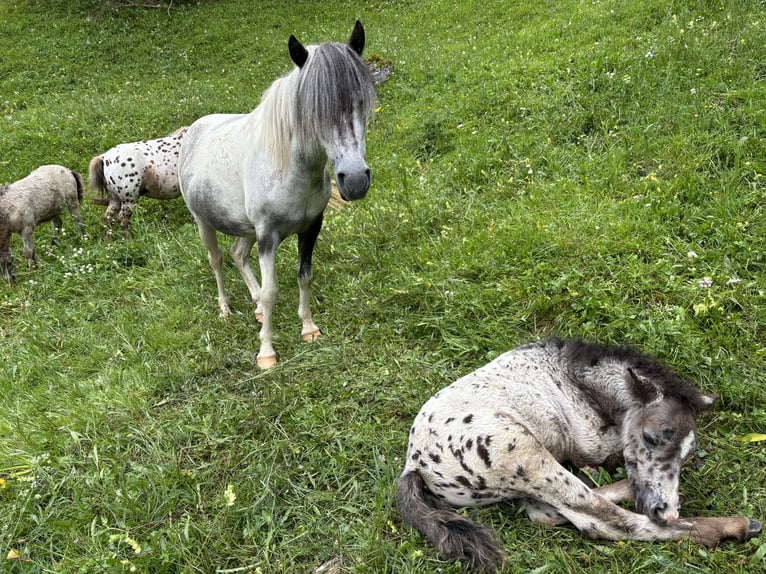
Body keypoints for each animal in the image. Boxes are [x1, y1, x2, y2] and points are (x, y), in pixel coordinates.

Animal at [182, 21, 378, 368]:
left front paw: (309, 329)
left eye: (360, 101)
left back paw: (257, 309)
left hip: (246, 230)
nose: (355, 180)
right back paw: (225, 310)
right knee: (216, 261)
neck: (290, 168)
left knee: (237, 254)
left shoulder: (311, 227)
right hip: (205, 224)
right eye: (314, 110)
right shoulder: (268, 236)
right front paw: (266, 353)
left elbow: (304, 276)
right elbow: (272, 290)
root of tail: (194, 130)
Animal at [396, 340, 760, 572]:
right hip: (527, 455)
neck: (573, 377)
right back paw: (734, 526)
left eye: (686, 451)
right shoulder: (588, 442)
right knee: (602, 520)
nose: (666, 510)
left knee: (548, 511)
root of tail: (414, 465)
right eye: (650, 436)